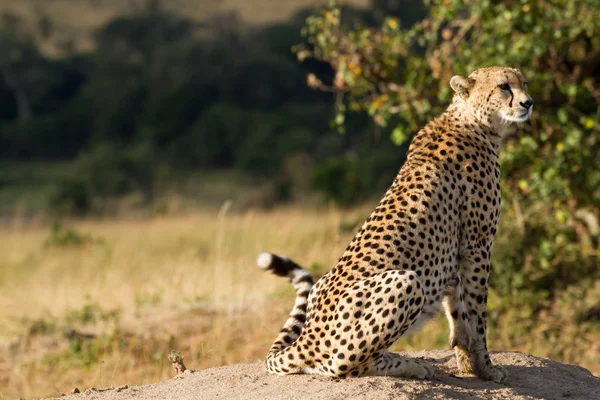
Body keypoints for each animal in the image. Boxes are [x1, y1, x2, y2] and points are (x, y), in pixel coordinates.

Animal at [258, 67, 536, 382]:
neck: (474, 121)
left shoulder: (454, 250)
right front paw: (486, 368)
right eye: (504, 87)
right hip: (406, 281)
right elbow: (477, 313)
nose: (528, 103)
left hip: (326, 287)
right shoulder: (478, 244)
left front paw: (467, 364)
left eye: (524, 83)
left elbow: (457, 310)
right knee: (343, 365)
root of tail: (308, 336)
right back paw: (409, 364)